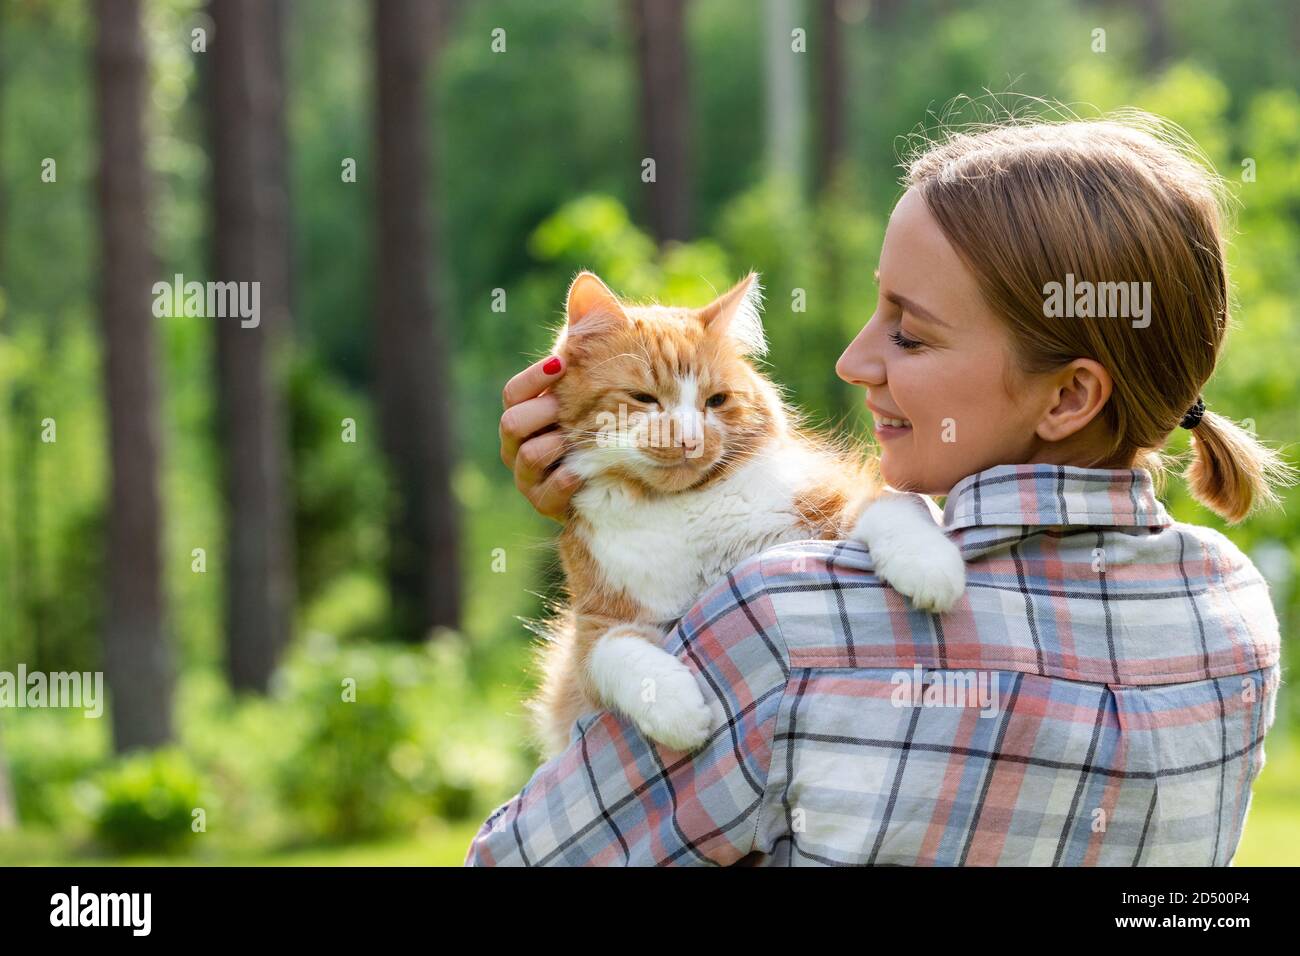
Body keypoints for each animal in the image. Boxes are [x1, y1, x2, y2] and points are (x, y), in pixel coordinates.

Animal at [527, 273, 967, 759]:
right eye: (643, 398)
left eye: (716, 401)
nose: (689, 439)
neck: (684, 509)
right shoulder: (593, 628)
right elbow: (615, 655)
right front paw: (678, 712)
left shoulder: (835, 501)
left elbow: (893, 511)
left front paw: (929, 567)